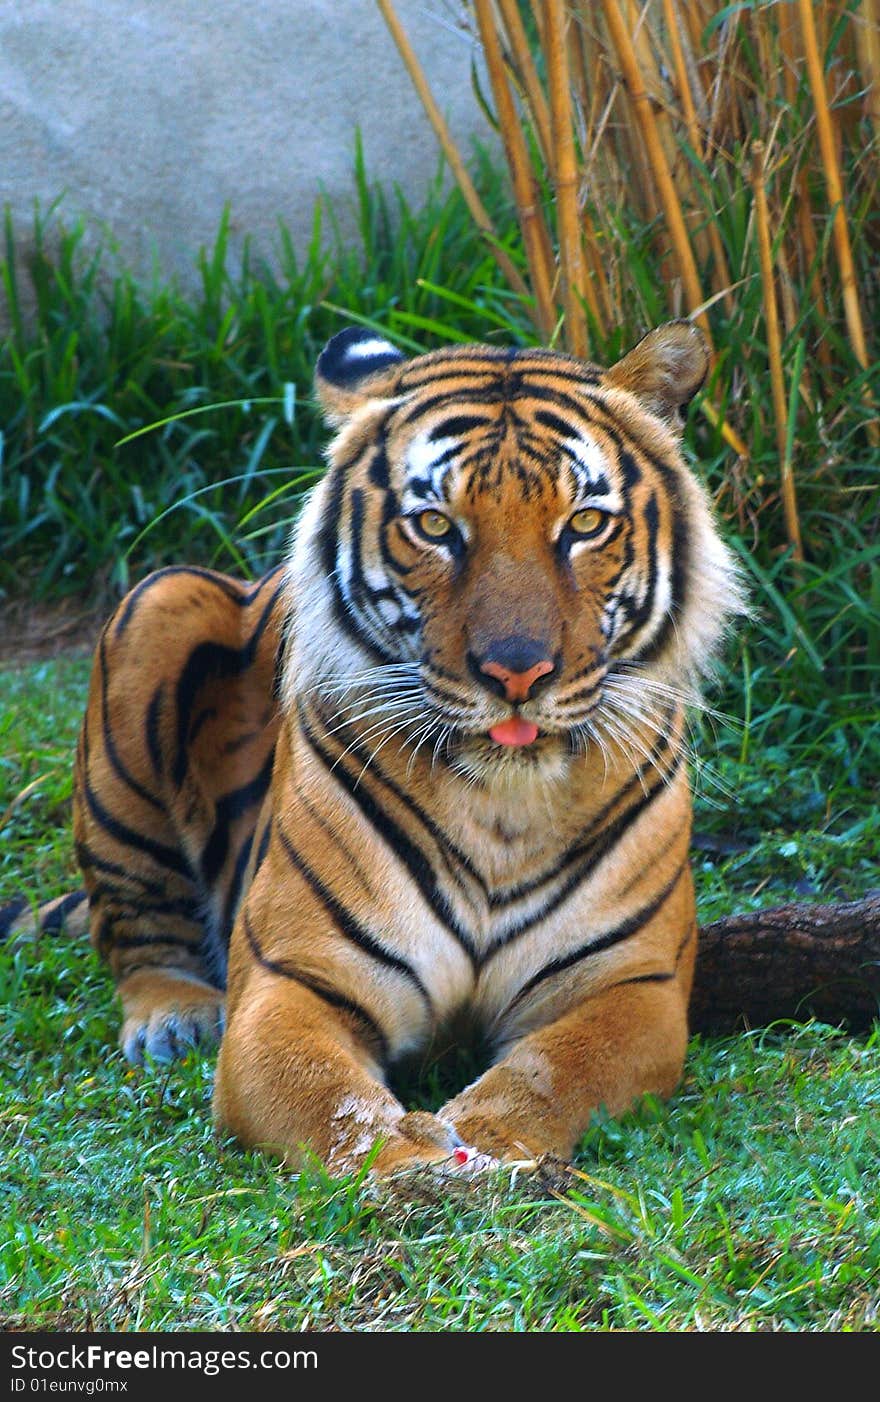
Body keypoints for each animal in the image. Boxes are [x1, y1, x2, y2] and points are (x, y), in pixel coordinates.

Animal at [5, 322, 739, 1177]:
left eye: (585, 525)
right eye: (436, 527)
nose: (516, 672)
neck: (503, 808)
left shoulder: (632, 986)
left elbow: (557, 1070)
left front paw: (485, 1137)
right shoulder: (295, 980)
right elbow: (327, 1098)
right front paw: (412, 1163)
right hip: (159, 600)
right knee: (136, 926)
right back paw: (175, 1018)